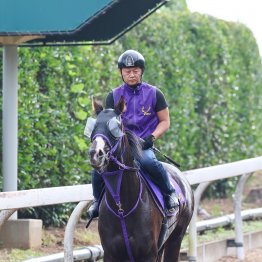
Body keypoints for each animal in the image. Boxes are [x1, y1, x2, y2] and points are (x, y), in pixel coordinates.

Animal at [88, 97, 194, 260]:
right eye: (93, 127)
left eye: (116, 127)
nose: (95, 153)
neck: (122, 207)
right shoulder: (111, 253)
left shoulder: (147, 254)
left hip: (176, 238)